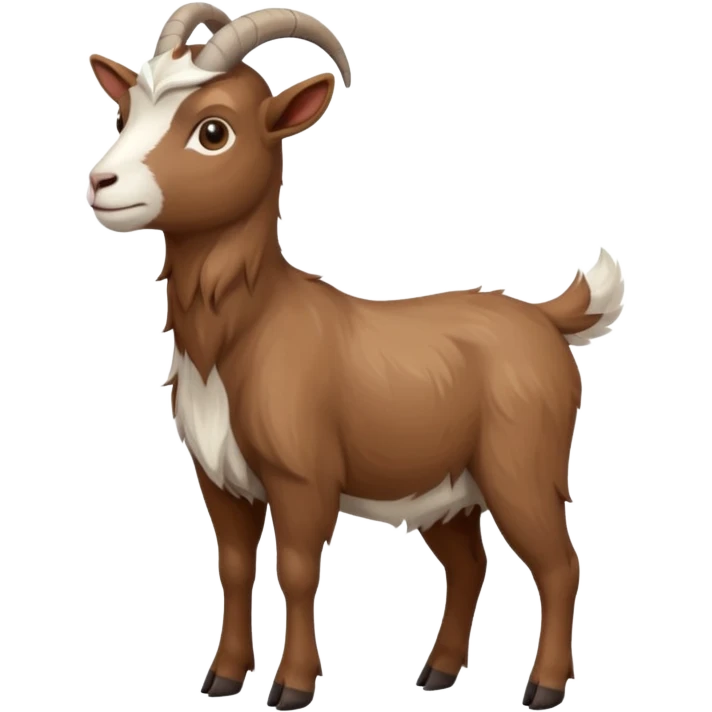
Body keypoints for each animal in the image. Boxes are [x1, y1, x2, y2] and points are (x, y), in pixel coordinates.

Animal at [86, 4, 625, 710]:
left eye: (213, 131)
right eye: (127, 114)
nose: (101, 182)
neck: (245, 334)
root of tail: (543, 317)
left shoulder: (302, 477)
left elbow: (295, 570)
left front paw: (291, 686)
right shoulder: (219, 479)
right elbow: (233, 568)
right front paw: (223, 678)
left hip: (521, 467)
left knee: (560, 564)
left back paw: (544, 687)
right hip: (448, 485)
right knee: (469, 564)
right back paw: (437, 673)